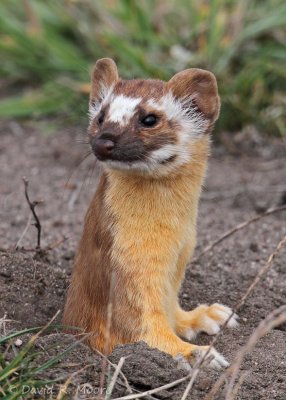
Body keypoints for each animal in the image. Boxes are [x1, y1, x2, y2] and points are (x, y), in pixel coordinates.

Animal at [63, 57, 238, 368]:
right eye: (100, 116)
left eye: (149, 119)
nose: (104, 141)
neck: (171, 240)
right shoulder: (125, 269)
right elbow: (145, 331)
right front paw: (197, 354)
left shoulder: (180, 257)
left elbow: (170, 307)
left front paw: (205, 316)